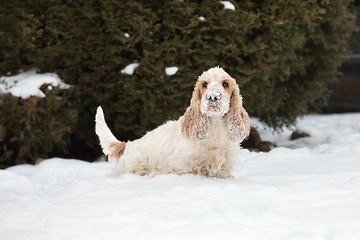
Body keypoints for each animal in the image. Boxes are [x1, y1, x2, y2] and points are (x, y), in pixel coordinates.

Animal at [94, 66, 249, 177]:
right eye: (205, 84)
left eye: (225, 84)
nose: (212, 97)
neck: (215, 128)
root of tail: (127, 145)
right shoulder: (179, 168)